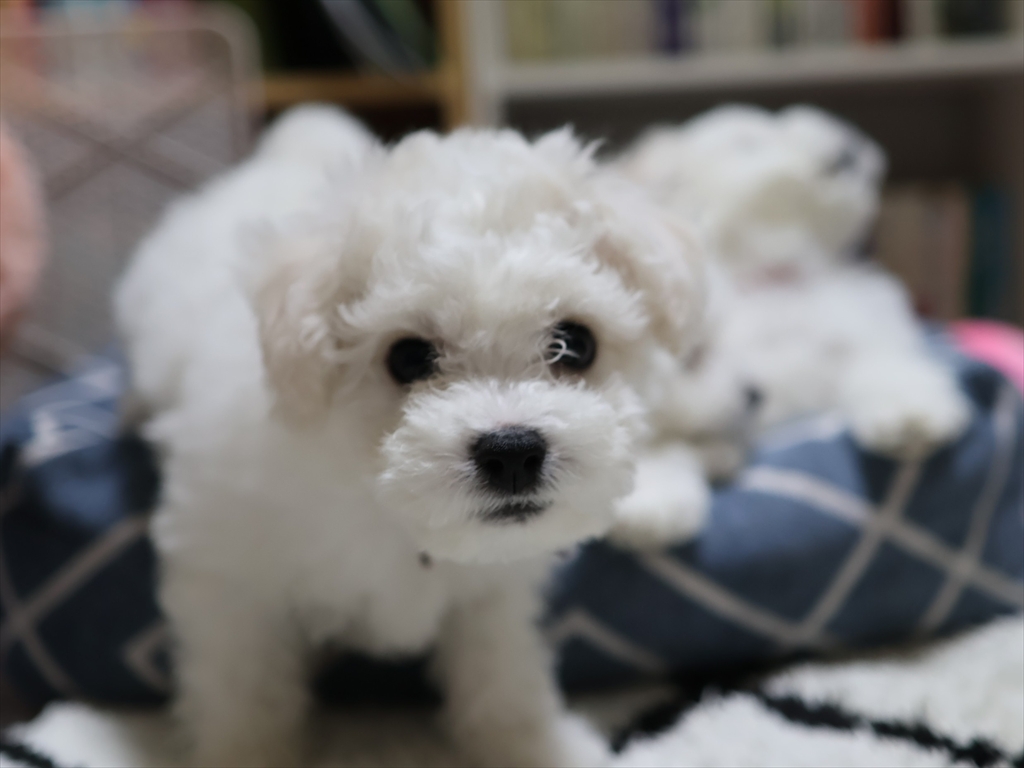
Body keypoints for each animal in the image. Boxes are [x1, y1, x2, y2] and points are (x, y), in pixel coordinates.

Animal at [115, 105, 706, 767]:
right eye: (408, 357)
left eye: (575, 343)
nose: (512, 452)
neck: (386, 507)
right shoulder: (228, 577)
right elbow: (244, 692)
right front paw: (246, 755)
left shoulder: (492, 593)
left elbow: (501, 671)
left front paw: (527, 743)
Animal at [619, 104, 969, 459]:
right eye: (747, 142)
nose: (848, 144)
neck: (778, 279)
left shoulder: (862, 341)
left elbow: (888, 368)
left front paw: (912, 416)